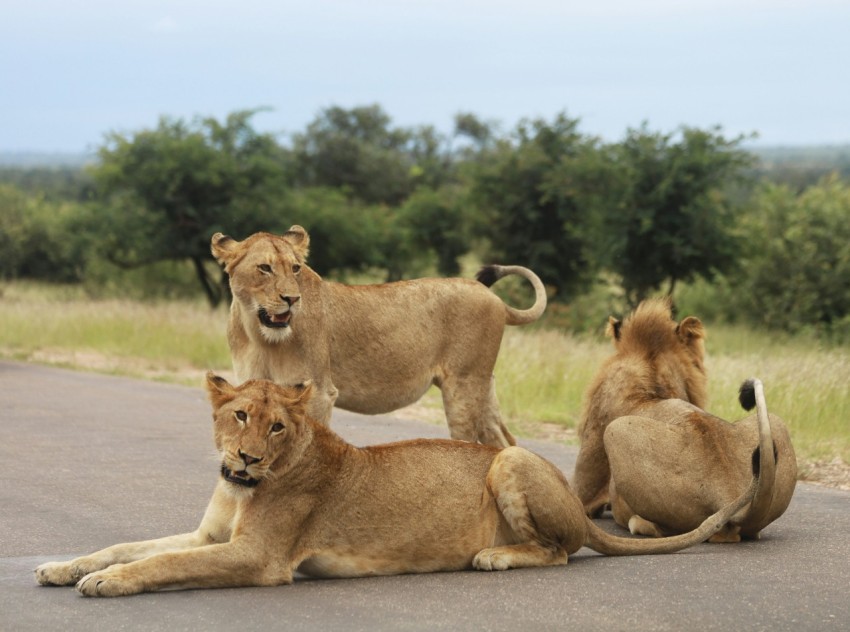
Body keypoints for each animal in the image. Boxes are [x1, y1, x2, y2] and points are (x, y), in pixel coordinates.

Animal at [36, 372, 760, 596]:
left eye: (277, 425)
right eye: (240, 415)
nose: (245, 456)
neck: (242, 485)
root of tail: (584, 510)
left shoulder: (260, 557)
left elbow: (162, 566)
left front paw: (105, 585)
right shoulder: (210, 534)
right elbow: (132, 547)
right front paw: (63, 567)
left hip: (508, 463)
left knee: (560, 550)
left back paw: (493, 556)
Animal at [209, 227, 548, 450]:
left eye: (295, 268)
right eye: (264, 268)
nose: (292, 299)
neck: (258, 333)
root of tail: (495, 298)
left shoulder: (318, 392)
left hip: (462, 387)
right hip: (481, 385)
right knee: (504, 441)